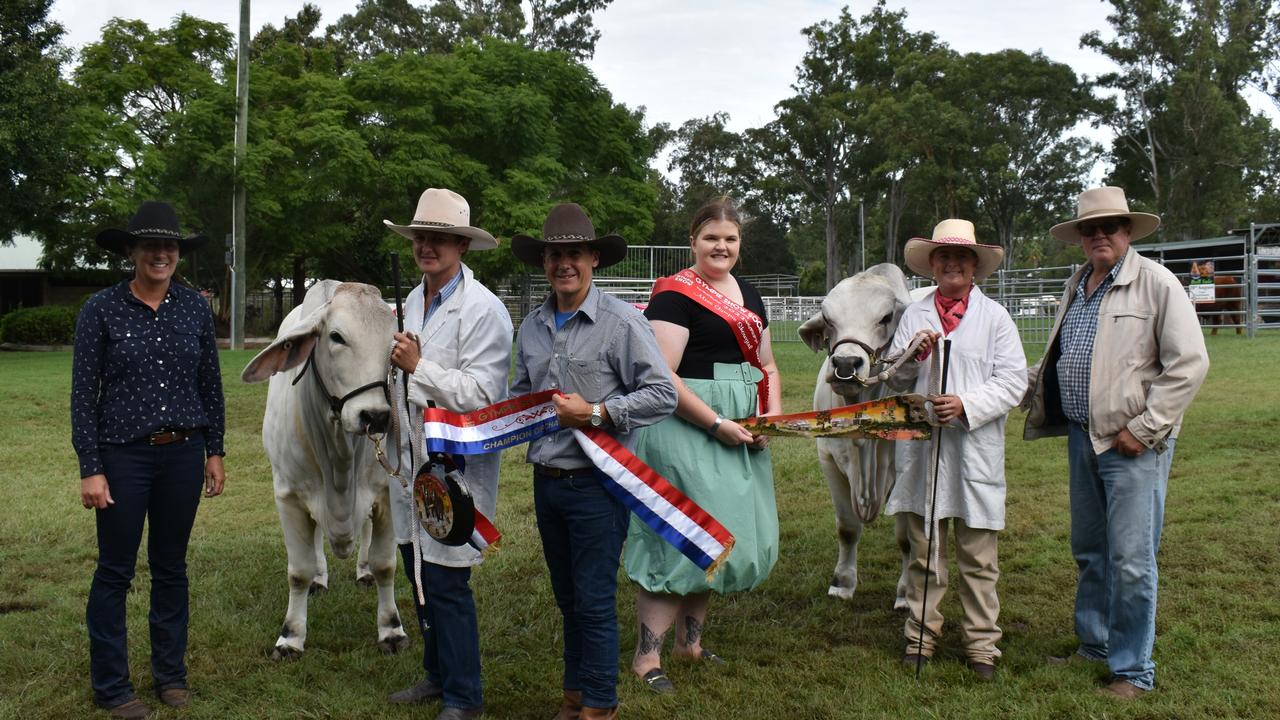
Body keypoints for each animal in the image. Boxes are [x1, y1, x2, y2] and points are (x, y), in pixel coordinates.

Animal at [235, 279, 404, 655]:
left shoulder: (385, 494)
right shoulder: (288, 497)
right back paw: (320, 578)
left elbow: (386, 565)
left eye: (394, 343)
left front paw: (391, 629)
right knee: (314, 542)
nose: (375, 417)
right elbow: (298, 570)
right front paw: (291, 635)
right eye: (336, 337)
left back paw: (362, 570)